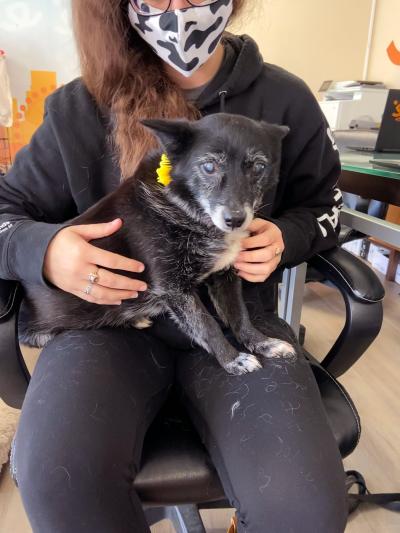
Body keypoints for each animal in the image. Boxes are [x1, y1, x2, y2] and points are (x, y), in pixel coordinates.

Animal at [18, 113, 296, 374]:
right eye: (209, 166)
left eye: (259, 167)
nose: (235, 220)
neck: (188, 211)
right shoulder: (174, 289)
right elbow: (208, 325)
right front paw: (232, 359)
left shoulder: (224, 276)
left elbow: (240, 315)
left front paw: (263, 342)